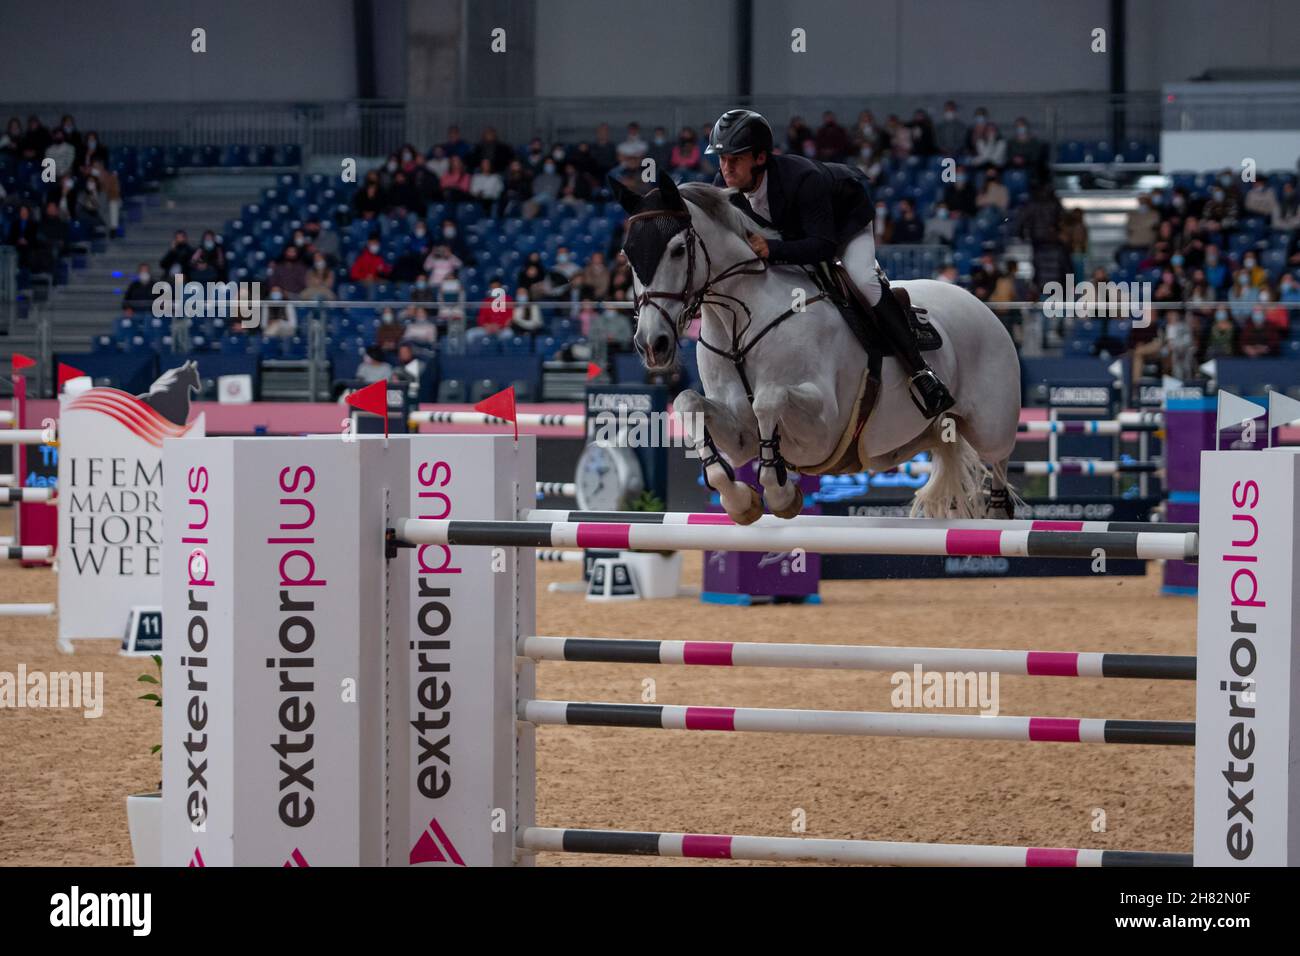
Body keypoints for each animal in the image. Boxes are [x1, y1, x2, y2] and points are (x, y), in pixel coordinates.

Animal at [613, 178, 1019, 522]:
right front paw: (740, 500)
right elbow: (688, 403)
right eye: (628, 253)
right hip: (896, 444)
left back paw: (997, 512)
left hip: (991, 426)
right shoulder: (740, 433)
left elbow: (768, 401)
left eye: (678, 250)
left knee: (998, 462)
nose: (651, 344)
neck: (739, 325)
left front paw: (780, 493)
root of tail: (978, 304)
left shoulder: (825, 426)